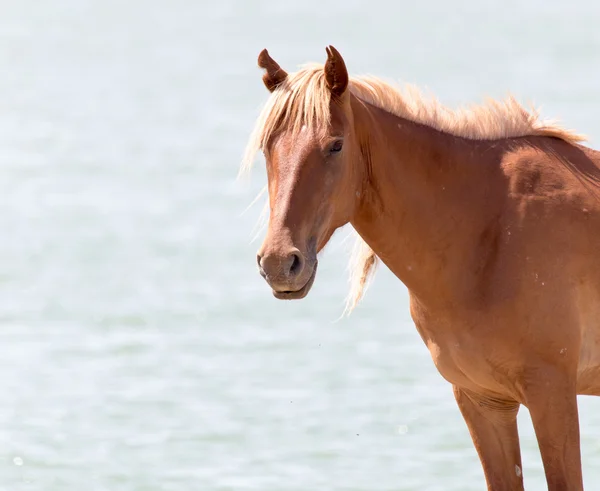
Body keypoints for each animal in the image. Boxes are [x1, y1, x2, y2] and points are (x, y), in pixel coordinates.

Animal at [240, 44, 600, 490]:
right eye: (267, 147)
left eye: (335, 146)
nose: (279, 263)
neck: (489, 230)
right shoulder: (483, 401)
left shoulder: (552, 395)